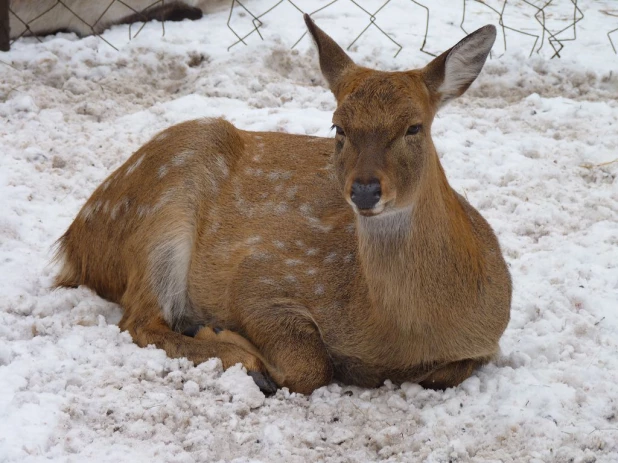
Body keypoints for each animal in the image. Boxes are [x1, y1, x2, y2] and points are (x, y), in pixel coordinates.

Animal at [55, 17, 510, 396]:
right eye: (337, 126)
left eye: (414, 127)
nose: (364, 191)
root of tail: (72, 243)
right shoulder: (263, 274)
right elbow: (310, 368)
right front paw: (230, 340)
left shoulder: (485, 342)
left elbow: (445, 374)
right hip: (162, 212)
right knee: (140, 321)